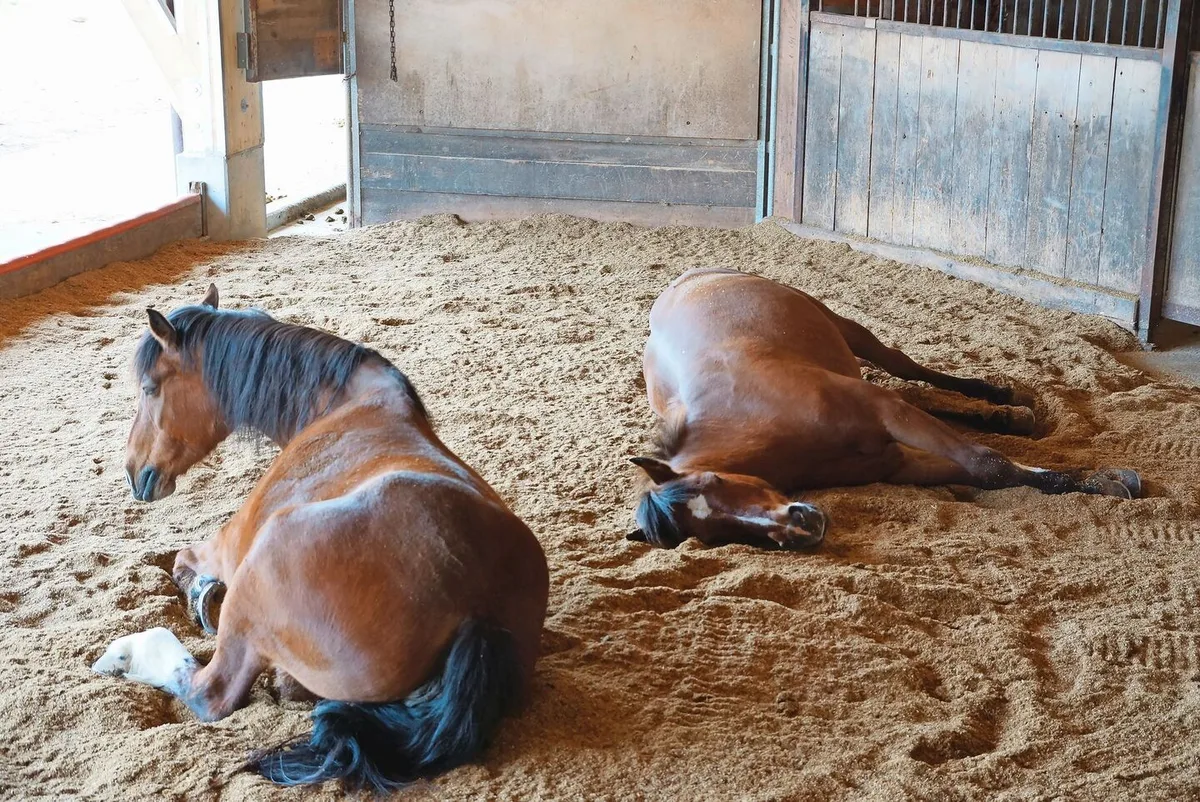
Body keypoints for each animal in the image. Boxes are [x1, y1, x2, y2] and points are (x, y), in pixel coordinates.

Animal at [91, 285, 549, 792]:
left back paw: (126, 654)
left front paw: (201, 598)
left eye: (150, 388)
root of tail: (477, 611)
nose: (134, 473)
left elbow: (182, 565)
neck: (345, 405)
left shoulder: (223, 549)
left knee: (210, 691)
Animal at [627, 268, 1141, 550]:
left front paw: (1108, 480)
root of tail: (689, 279)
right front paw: (1104, 481)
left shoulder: (885, 412)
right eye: (713, 536)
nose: (803, 528)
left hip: (848, 330)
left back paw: (1001, 398)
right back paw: (1008, 418)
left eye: (713, 481)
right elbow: (995, 474)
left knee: (907, 368)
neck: (755, 417)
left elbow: (988, 463)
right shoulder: (896, 462)